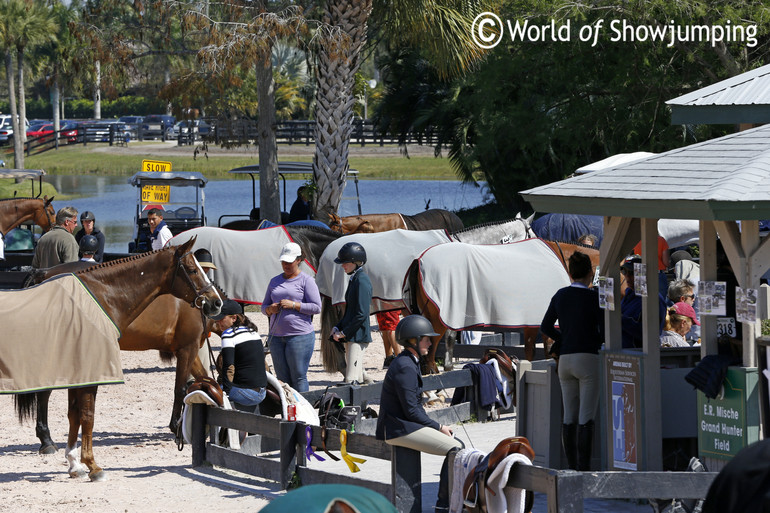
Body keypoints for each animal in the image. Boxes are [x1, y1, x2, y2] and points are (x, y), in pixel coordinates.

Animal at [12, 238, 222, 482]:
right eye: (192, 269)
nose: (216, 302)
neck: (103, 297)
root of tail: (43, 273)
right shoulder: (187, 348)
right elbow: (88, 414)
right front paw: (92, 466)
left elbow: (75, 413)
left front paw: (75, 464)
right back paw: (46, 441)